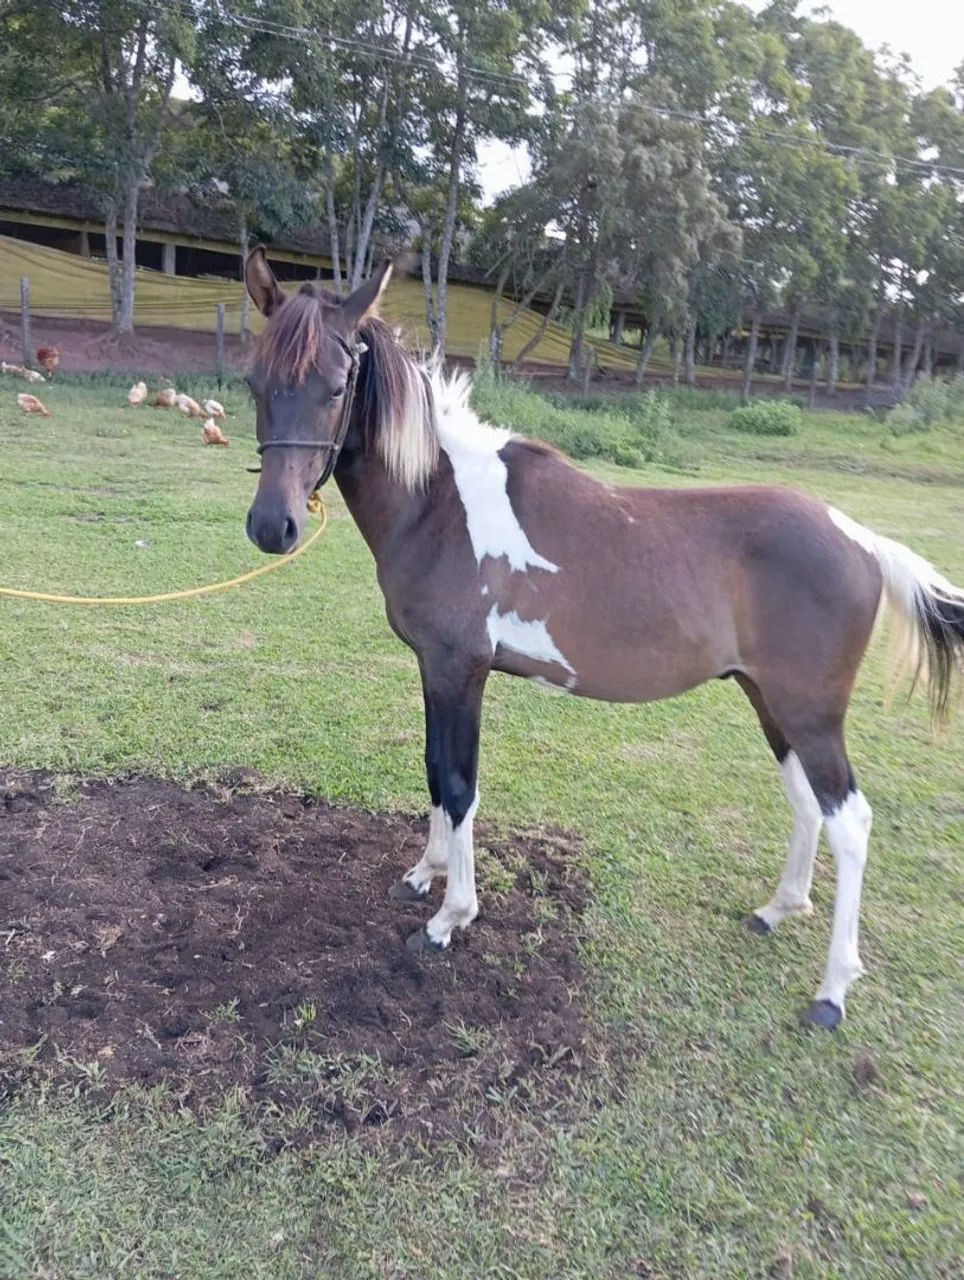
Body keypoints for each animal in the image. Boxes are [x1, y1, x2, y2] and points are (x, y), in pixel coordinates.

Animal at [242, 248, 964, 1029]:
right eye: (255, 381)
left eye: (336, 385)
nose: (273, 525)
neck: (439, 502)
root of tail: (860, 539)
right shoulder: (434, 670)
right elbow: (435, 770)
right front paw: (424, 874)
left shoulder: (460, 669)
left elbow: (460, 785)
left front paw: (449, 918)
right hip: (772, 702)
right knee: (807, 803)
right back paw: (776, 910)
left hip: (810, 713)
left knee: (850, 822)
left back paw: (832, 991)